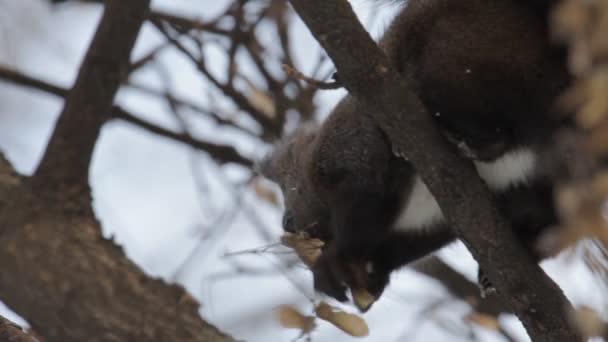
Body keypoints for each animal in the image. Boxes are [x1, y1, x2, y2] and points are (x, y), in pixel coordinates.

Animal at [260, 0, 568, 308]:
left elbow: (359, 209)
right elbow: (400, 247)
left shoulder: (351, 154)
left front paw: (334, 265)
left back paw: (461, 135)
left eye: (290, 214)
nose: (287, 223)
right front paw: (369, 276)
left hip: (462, 61)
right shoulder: (427, 224)